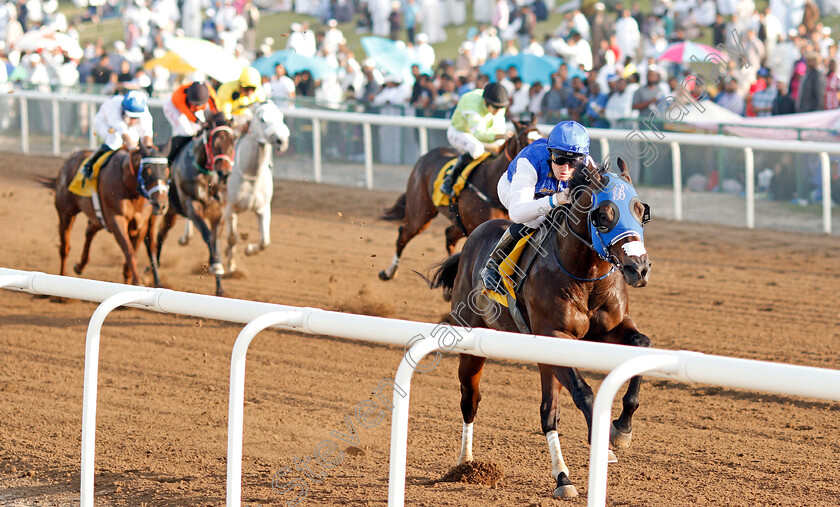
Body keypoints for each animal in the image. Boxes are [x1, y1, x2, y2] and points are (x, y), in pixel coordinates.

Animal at [37, 144, 171, 286]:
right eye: (146, 171)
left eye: (167, 171)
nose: (161, 204)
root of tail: (69, 159)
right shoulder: (116, 219)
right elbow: (130, 252)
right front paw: (138, 281)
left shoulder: (140, 225)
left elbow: (130, 257)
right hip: (66, 213)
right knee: (65, 248)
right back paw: (62, 278)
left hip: (99, 218)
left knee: (89, 230)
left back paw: (80, 266)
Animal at [156, 109, 236, 296]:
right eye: (215, 142)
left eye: (233, 140)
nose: (224, 173)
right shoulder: (192, 207)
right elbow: (207, 235)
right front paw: (215, 265)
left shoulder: (218, 213)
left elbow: (215, 238)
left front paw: (219, 283)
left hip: (170, 212)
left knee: (161, 234)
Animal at [378, 116, 540, 282]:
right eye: (526, 141)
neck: (489, 183)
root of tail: (425, 156)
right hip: (420, 213)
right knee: (403, 235)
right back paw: (389, 272)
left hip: (458, 221)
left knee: (449, 236)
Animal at [430, 158, 652, 500]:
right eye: (603, 215)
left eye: (641, 210)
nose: (638, 268)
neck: (584, 275)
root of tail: (472, 240)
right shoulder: (555, 335)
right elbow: (584, 392)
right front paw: (603, 443)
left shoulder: (610, 329)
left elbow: (641, 344)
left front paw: (622, 428)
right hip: (471, 340)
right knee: (470, 400)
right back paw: (466, 466)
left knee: (548, 413)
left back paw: (562, 477)